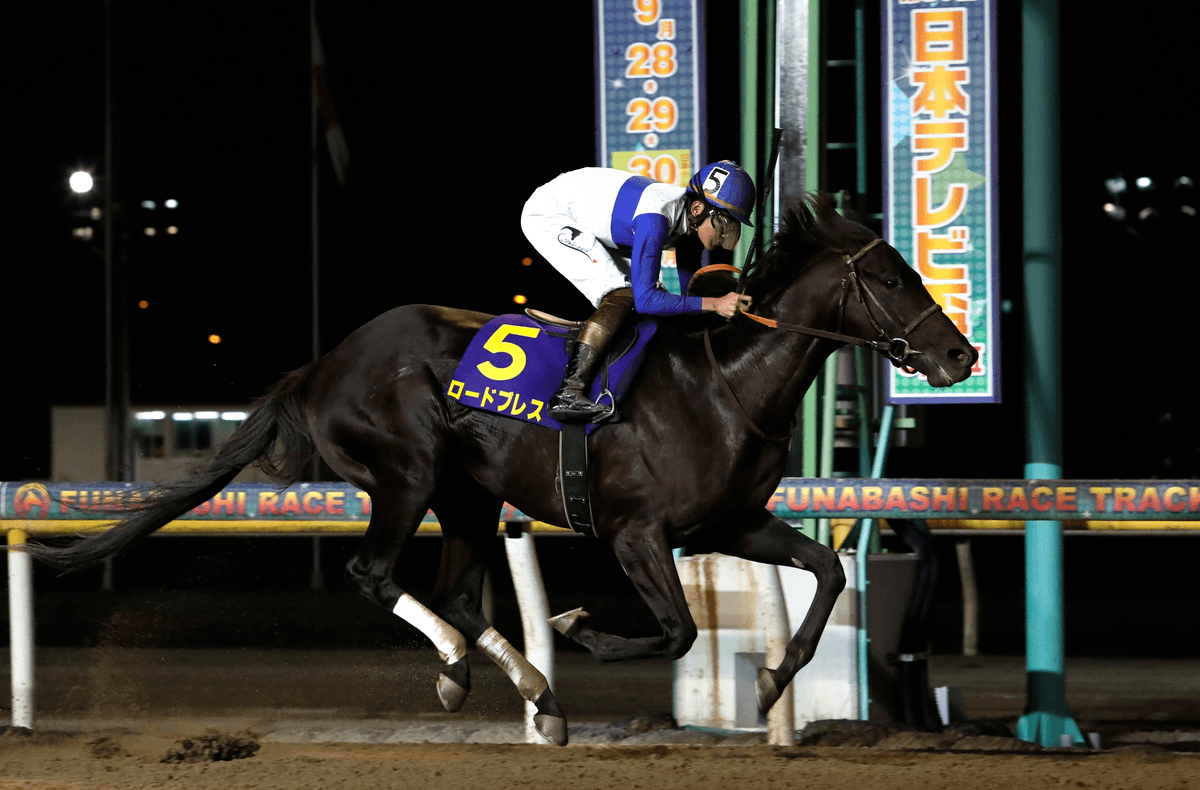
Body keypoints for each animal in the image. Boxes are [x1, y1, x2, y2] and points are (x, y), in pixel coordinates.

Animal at [26, 194, 977, 745]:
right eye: (895, 276)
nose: (961, 355)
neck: (727, 384)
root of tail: (325, 363)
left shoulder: (730, 522)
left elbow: (826, 570)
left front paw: (779, 678)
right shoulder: (636, 532)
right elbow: (675, 629)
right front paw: (581, 625)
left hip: (468, 497)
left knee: (452, 592)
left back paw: (527, 693)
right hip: (406, 473)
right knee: (376, 573)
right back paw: (469, 672)